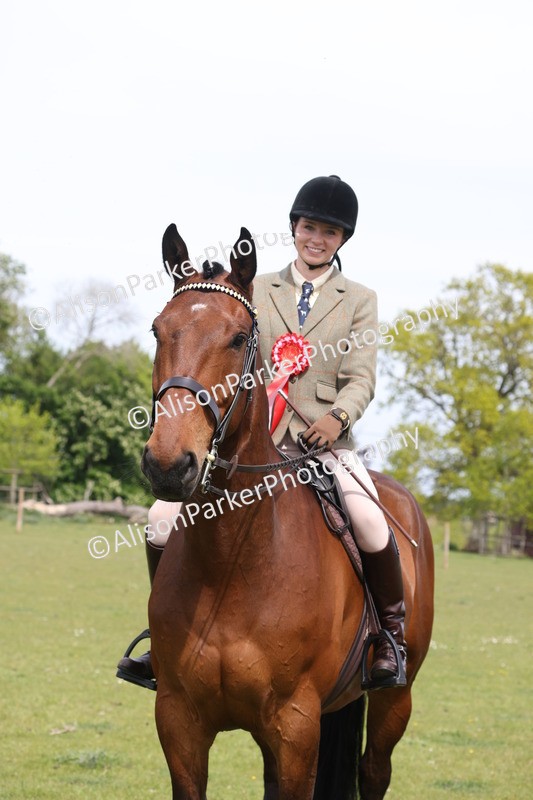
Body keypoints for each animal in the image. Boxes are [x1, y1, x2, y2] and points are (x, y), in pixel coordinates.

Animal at [141, 223, 434, 800]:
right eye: (159, 331)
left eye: (237, 338)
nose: (169, 465)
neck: (232, 562)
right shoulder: (179, 722)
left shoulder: (296, 726)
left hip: (397, 696)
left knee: (375, 769)